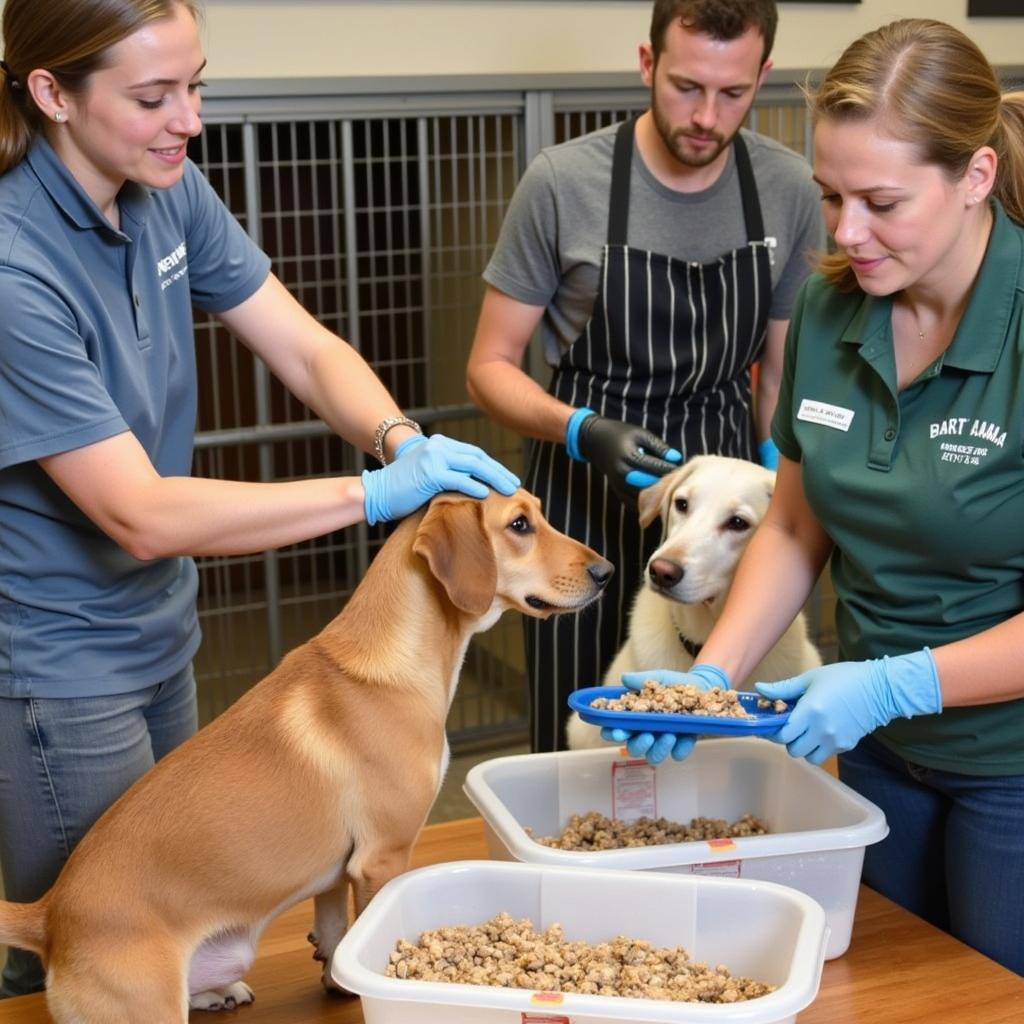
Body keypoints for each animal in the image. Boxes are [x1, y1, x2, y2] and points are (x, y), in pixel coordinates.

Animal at [0, 491, 606, 1019]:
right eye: (519, 524)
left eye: (539, 514)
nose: (607, 571)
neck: (394, 659)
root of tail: (50, 914)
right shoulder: (381, 858)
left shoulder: (338, 871)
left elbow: (337, 932)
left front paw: (335, 979)